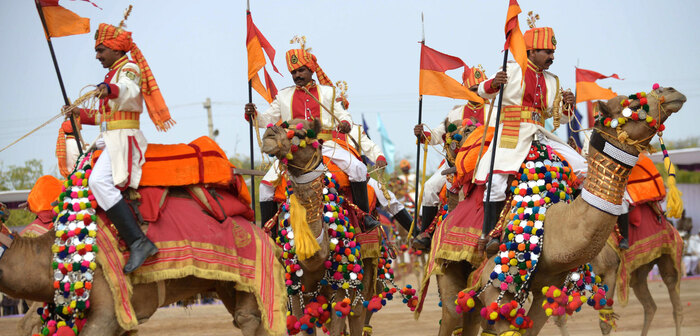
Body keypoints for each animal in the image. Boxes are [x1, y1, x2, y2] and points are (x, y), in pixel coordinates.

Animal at [260, 119, 378, 336]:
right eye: (282, 124)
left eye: (301, 133)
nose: (270, 133)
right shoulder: (296, 287)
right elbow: (303, 322)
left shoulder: (341, 284)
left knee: (357, 315)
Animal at [556, 201, 684, 334]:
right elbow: (560, 318)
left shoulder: (610, 271)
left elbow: (605, 324)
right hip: (639, 272)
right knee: (650, 306)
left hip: (670, 257)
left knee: (675, 300)